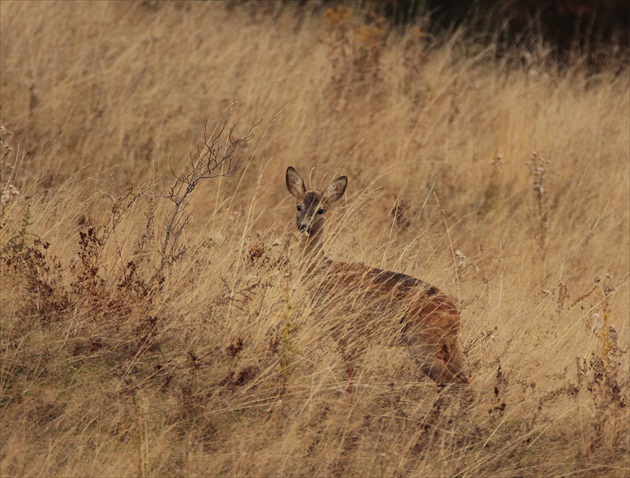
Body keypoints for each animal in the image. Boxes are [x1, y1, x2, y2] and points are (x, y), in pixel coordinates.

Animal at [286, 167, 470, 388]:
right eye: (299, 206)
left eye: (321, 210)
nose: (304, 226)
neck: (325, 272)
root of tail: (455, 316)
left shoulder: (347, 330)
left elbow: (351, 375)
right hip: (448, 347)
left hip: (421, 342)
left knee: (450, 381)